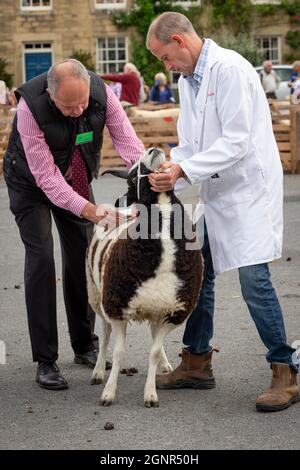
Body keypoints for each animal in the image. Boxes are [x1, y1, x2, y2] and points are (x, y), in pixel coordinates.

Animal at [86, 148, 204, 408]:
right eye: (131, 177)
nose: (154, 150)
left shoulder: (172, 311)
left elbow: (154, 352)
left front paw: (151, 394)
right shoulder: (117, 308)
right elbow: (118, 352)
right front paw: (108, 393)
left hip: (155, 306)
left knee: (152, 337)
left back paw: (166, 365)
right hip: (97, 295)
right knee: (104, 334)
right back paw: (98, 372)